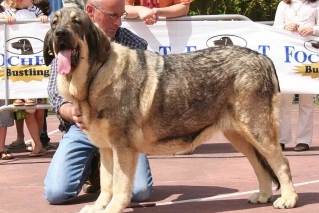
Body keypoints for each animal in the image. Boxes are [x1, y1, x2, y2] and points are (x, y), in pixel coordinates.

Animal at [43, 6, 298, 213]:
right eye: (54, 23)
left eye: (77, 22)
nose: (60, 34)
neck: (94, 76)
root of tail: (263, 59)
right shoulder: (106, 148)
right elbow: (107, 184)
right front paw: (99, 207)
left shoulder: (122, 147)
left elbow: (120, 185)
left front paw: (113, 208)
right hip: (239, 136)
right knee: (260, 166)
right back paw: (264, 195)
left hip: (257, 130)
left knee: (281, 163)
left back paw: (288, 199)